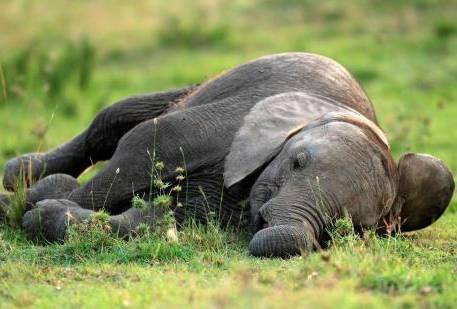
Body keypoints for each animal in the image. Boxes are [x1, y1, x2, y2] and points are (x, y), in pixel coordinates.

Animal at [0, 52, 452, 255]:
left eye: (347, 227)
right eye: (297, 162)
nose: (272, 230)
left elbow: (153, 222)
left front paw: (46, 213)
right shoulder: (220, 127)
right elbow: (143, 146)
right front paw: (27, 204)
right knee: (112, 122)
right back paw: (21, 175)